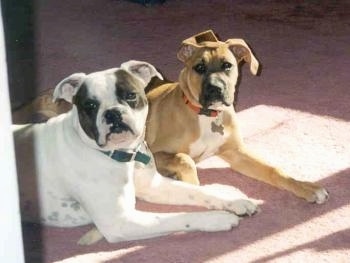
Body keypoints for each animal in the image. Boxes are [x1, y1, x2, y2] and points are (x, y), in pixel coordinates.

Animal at [13, 60, 258, 245]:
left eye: (130, 95)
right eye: (90, 106)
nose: (112, 114)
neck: (123, 156)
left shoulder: (153, 185)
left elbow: (197, 192)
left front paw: (235, 200)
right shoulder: (120, 223)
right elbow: (177, 217)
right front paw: (218, 219)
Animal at [144, 30, 328, 204]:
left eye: (227, 65)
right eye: (199, 67)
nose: (215, 89)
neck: (209, 116)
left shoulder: (236, 152)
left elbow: (273, 170)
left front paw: (305, 187)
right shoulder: (155, 152)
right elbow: (185, 159)